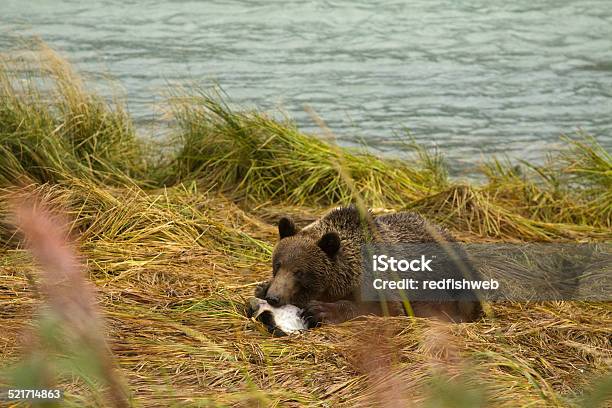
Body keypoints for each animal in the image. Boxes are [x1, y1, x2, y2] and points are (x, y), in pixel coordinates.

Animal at [255, 206, 482, 326]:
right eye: (278, 264)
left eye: (299, 272)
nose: (274, 297)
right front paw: (261, 287)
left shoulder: (381, 278)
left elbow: (386, 308)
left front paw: (320, 310)